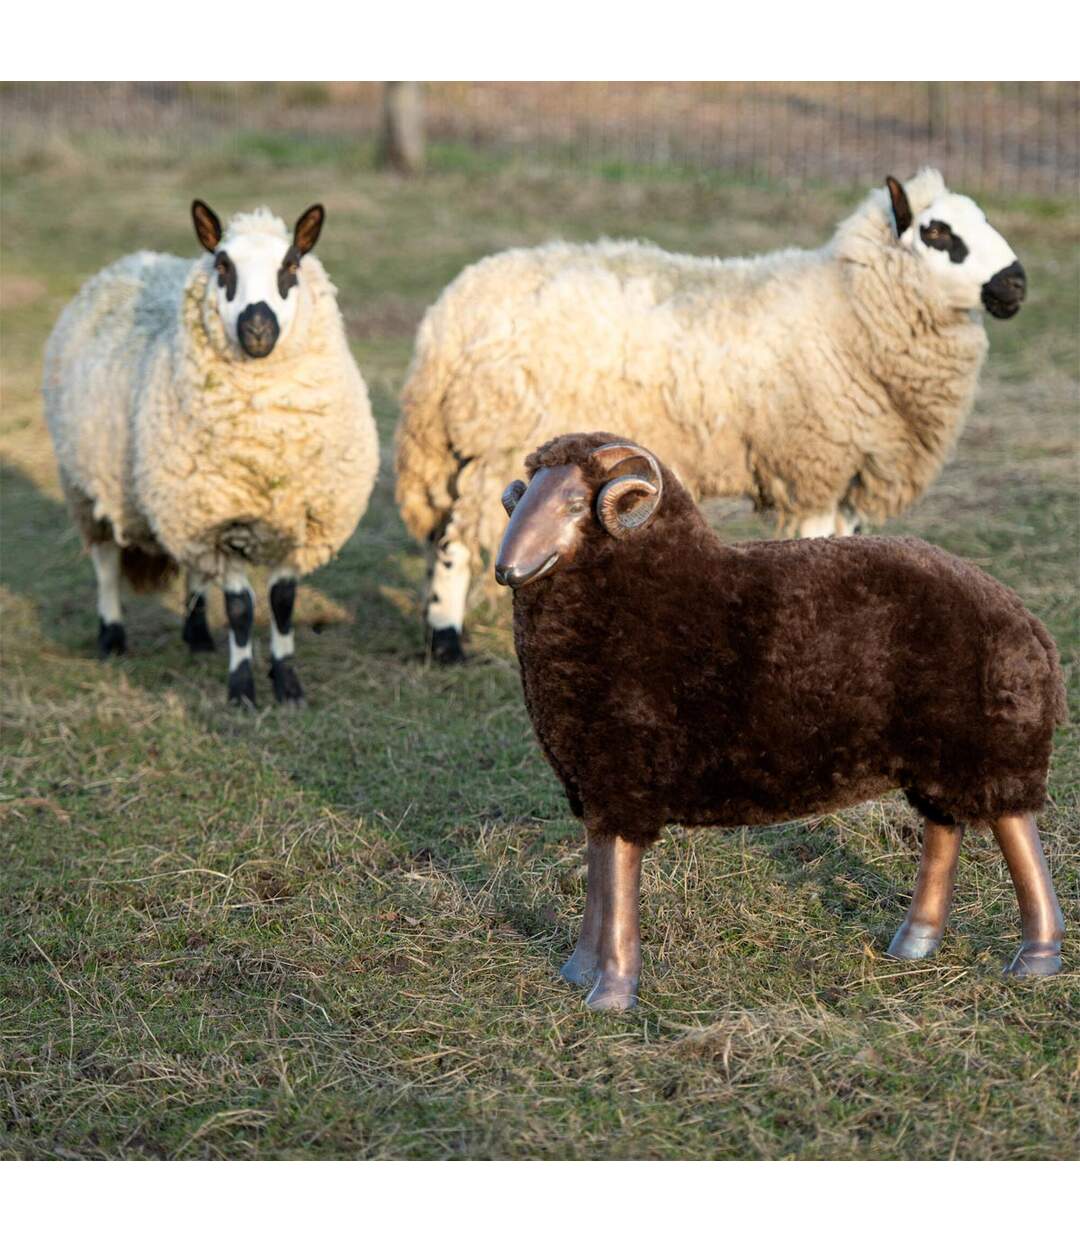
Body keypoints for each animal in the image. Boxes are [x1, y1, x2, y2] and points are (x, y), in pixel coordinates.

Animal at [42, 200, 378, 706]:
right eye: (223, 266)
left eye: (291, 265)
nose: (257, 330)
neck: (264, 445)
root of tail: (132, 259)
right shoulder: (222, 521)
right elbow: (241, 609)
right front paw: (241, 689)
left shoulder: (292, 519)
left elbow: (282, 604)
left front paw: (288, 684)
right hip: (89, 489)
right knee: (106, 565)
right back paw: (112, 637)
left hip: (182, 502)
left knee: (193, 569)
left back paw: (197, 635)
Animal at [397, 168, 1028, 663]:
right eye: (938, 233)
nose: (1016, 284)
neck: (848, 308)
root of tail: (450, 311)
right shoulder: (813, 460)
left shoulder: (851, 464)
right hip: (502, 437)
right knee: (457, 538)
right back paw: (446, 640)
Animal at [495, 432, 1066, 1011]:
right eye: (523, 498)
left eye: (573, 505)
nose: (506, 569)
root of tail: (1025, 619)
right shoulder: (593, 785)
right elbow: (598, 875)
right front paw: (577, 971)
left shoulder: (625, 779)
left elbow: (617, 878)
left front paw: (612, 991)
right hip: (936, 754)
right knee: (944, 827)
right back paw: (915, 941)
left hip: (990, 746)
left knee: (1015, 830)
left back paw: (1037, 956)